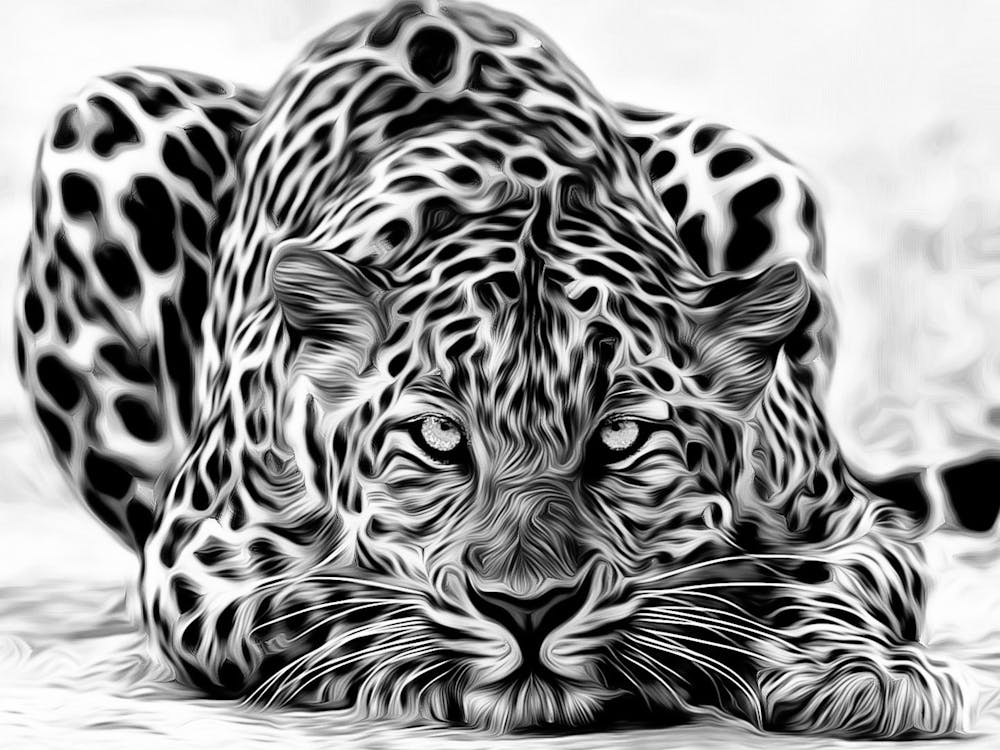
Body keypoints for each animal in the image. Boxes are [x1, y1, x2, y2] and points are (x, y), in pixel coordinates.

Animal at [13, 0, 996, 737]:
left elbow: (829, 582)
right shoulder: (199, 561)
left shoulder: (852, 522)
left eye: (622, 439)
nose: (529, 610)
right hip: (104, 125)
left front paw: (863, 673)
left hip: (747, 163)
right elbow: (325, 605)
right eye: (438, 438)